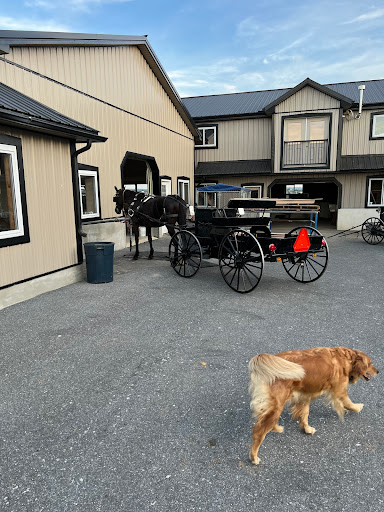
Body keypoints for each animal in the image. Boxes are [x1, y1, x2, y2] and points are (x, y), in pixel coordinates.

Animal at [249, 348, 378, 464]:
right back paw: (254, 457)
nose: (378, 371)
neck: (346, 358)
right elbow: (348, 403)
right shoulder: (340, 391)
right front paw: (358, 407)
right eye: (370, 363)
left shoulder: (305, 396)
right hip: (277, 405)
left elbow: (305, 414)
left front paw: (307, 428)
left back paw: (276, 428)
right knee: (259, 431)